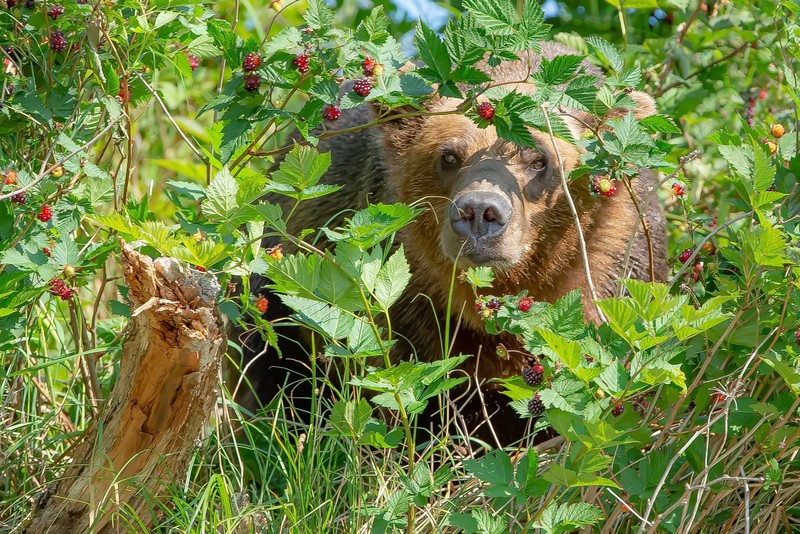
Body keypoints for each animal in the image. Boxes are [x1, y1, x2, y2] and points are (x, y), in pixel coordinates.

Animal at [238, 42, 667, 446]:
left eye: (539, 160)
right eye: (449, 156)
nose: (479, 211)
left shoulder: (613, 264)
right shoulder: (408, 293)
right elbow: (406, 386)